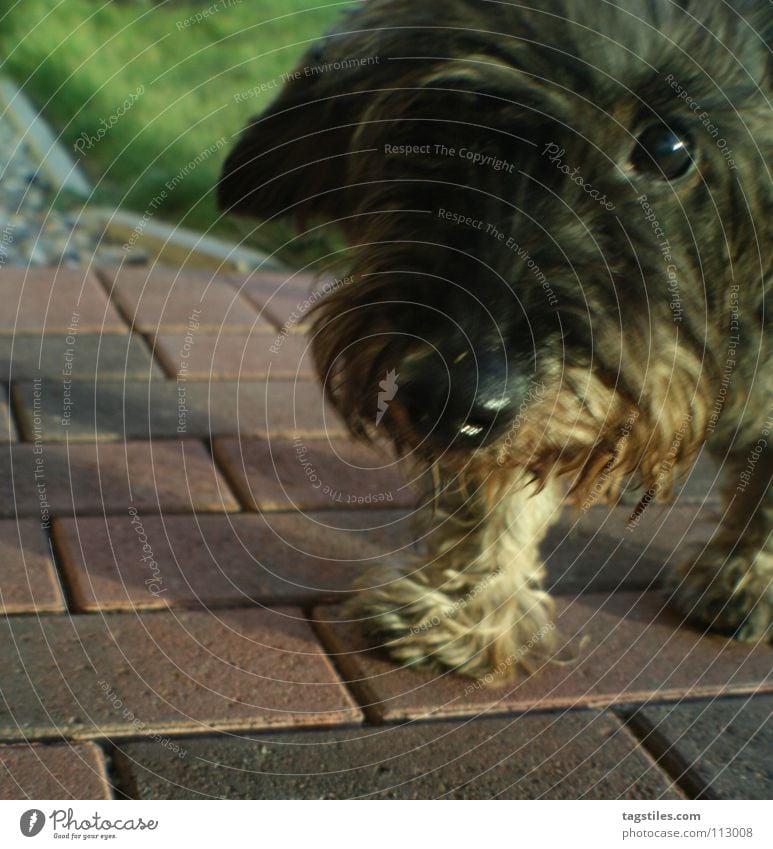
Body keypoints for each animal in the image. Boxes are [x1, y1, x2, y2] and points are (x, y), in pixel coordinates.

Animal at [219, 0, 772, 676]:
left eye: (670, 148)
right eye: (428, 128)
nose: (452, 399)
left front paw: (745, 580)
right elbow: (496, 492)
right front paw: (462, 612)